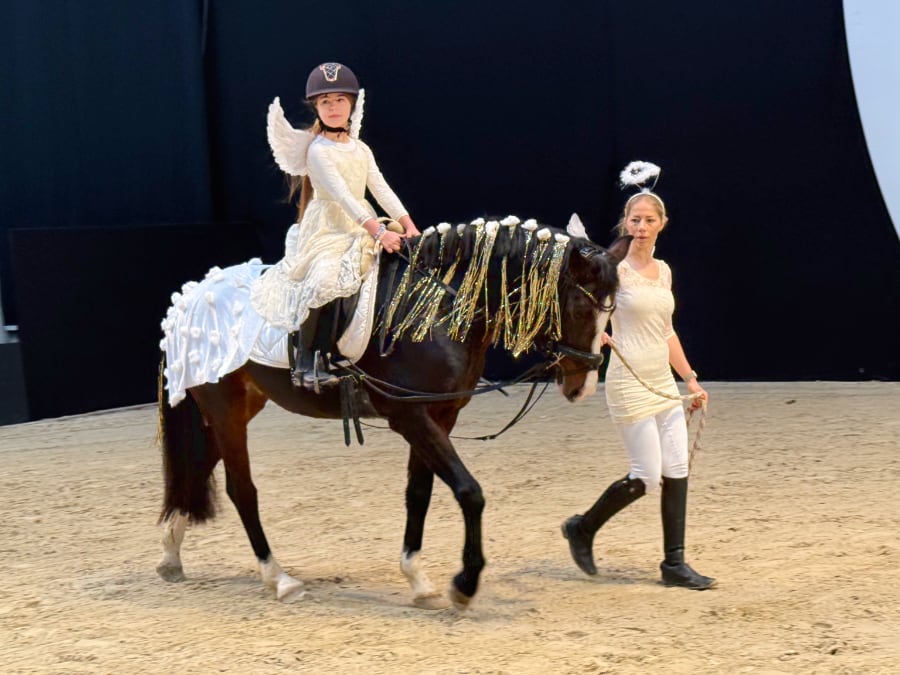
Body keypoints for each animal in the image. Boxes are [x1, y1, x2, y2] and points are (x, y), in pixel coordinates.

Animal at [156, 219, 624, 608]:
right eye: (579, 309)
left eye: (612, 312)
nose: (582, 386)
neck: (436, 310)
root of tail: (189, 296)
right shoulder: (410, 417)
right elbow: (469, 491)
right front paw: (464, 584)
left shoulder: (439, 416)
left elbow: (419, 493)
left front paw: (419, 581)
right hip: (227, 411)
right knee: (242, 491)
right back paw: (279, 578)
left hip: (234, 409)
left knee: (197, 469)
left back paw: (171, 555)